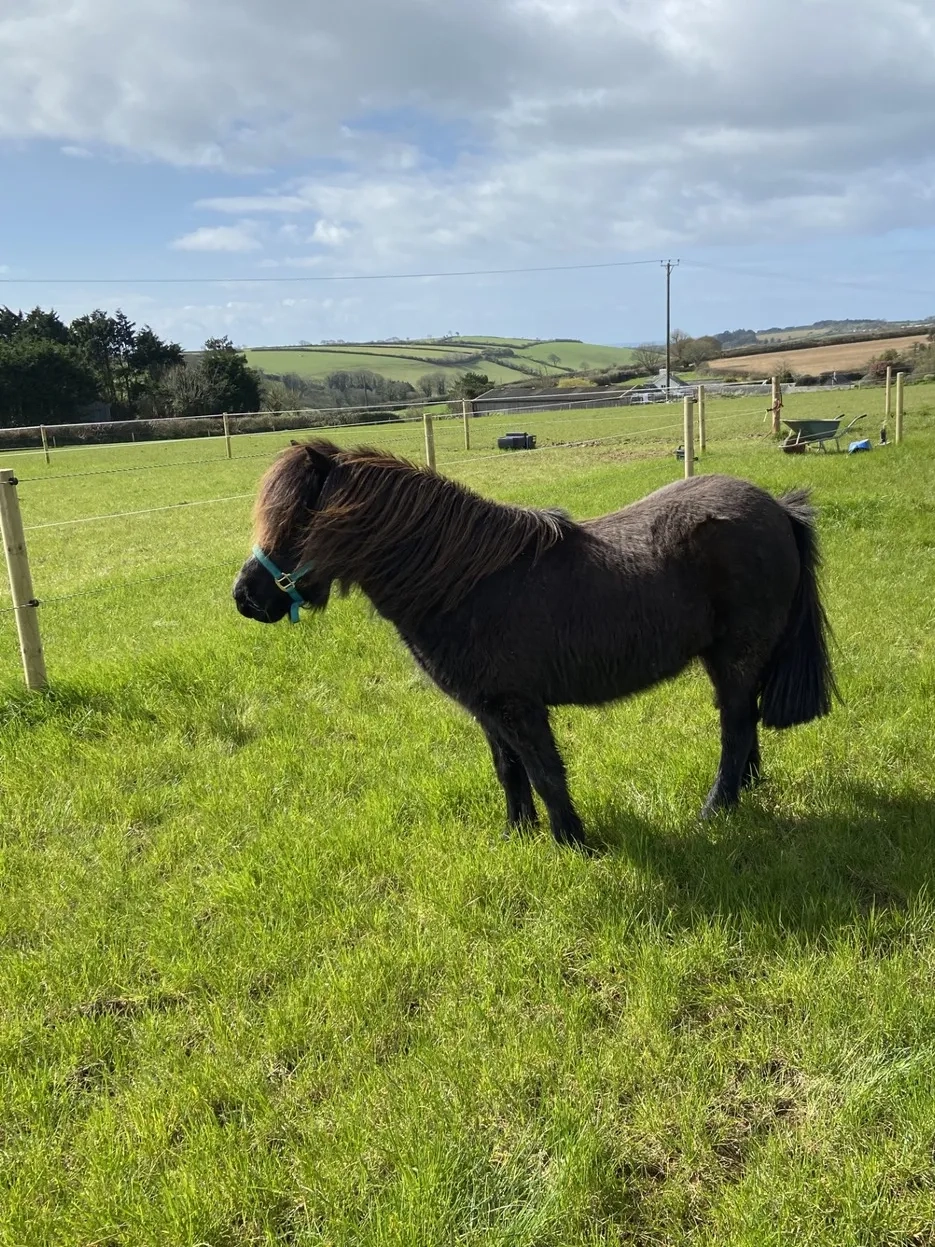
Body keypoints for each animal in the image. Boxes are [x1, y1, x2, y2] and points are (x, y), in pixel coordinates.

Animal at [233, 439, 838, 850]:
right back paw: (747, 791)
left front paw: (574, 843)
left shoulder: (519, 706)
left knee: (734, 728)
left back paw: (716, 810)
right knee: (746, 724)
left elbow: (545, 771)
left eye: (296, 522)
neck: (464, 583)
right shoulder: (487, 708)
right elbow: (510, 770)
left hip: (735, 657)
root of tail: (778, 508)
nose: (245, 597)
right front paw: (517, 836)